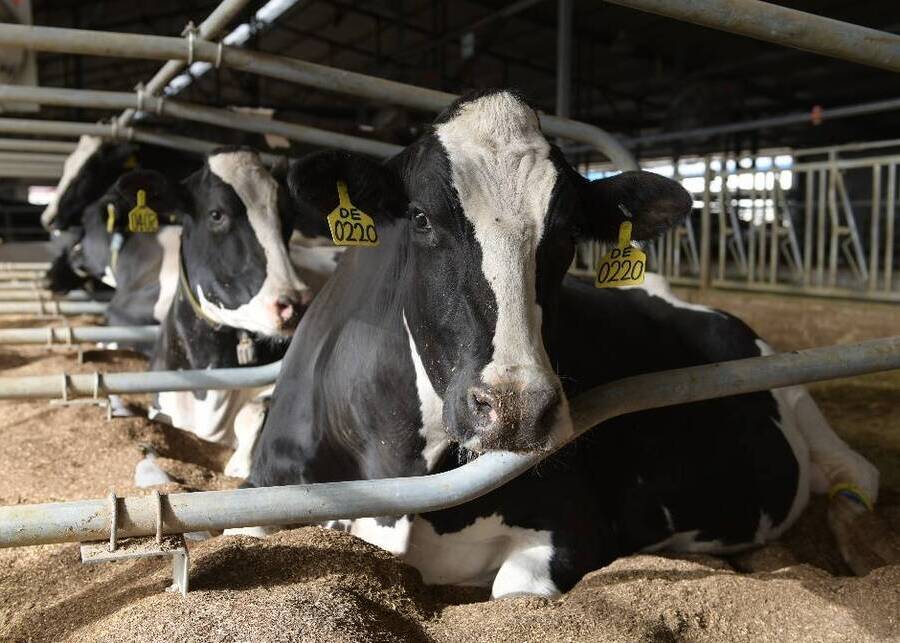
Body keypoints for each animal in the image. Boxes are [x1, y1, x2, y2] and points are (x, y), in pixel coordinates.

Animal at [244, 90, 885, 597]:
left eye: (570, 232)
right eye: (421, 217)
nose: (516, 408)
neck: (399, 464)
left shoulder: (575, 526)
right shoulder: (264, 488)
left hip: (798, 397)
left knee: (858, 480)